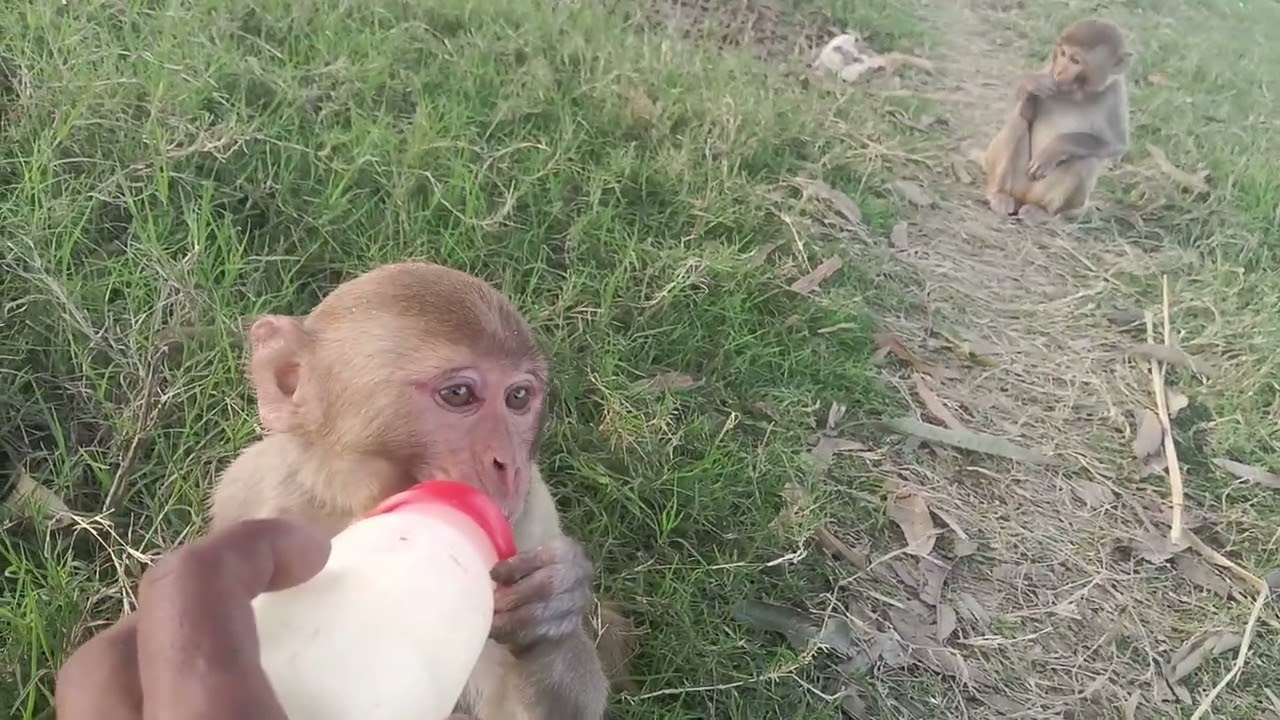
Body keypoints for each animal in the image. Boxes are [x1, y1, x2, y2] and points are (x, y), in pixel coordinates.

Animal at [207, 261, 627, 719]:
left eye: (518, 397)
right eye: (459, 394)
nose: (509, 466)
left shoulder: (534, 517)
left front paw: (553, 604)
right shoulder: (248, 494)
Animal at [981, 18, 1132, 220]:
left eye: (1075, 60)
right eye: (1062, 53)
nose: (1059, 71)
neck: (1079, 95)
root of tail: (1023, 196)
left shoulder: (1115, 94)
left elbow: (1116, 145)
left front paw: (1054, 149)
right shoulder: (1048, 73)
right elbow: (1025, 116)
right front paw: (1031, 84)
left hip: (1046, 194)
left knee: (1086, 161)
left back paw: (1042, 211)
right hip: (1017, 182)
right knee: (1017, 124)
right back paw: (999, 195)